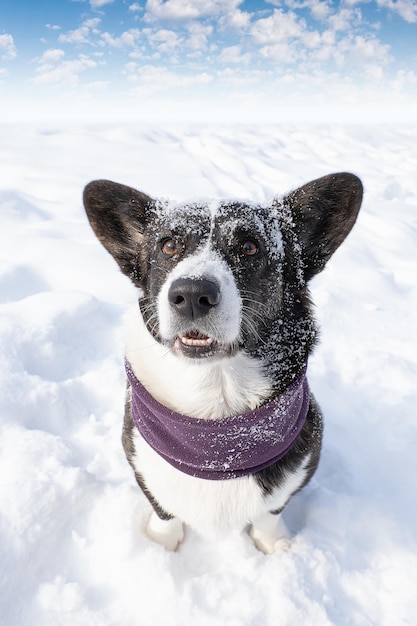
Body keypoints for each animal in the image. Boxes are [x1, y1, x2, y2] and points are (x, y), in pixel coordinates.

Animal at [83, 171, 360, 552]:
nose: (191, 295)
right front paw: (162, 545)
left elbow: (270, 512)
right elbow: (163, 510)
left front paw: (273, 545)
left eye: (249, 247)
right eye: (169, 246)